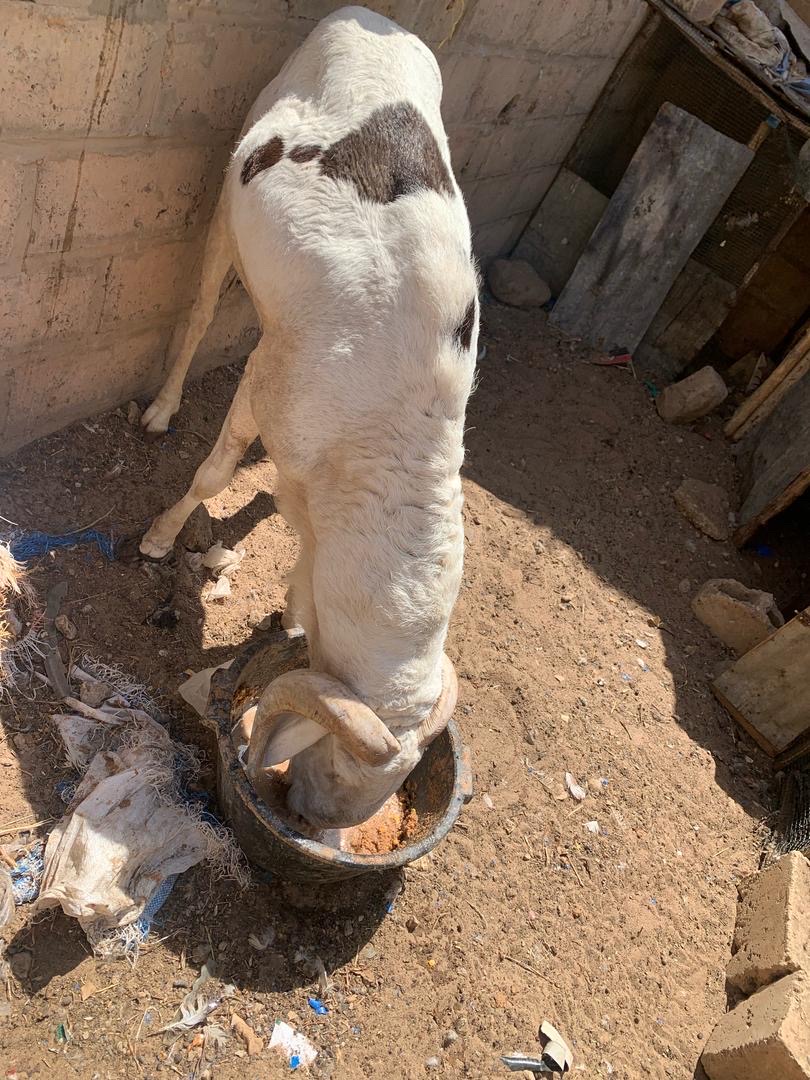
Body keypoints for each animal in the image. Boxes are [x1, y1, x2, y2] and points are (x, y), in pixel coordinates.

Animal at [138, 6, 478, 829]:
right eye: (338, 761)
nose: (312, 819)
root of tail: (375, 18)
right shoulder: (268, 383)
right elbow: (215, 472)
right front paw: (160, 538)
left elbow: (301, 563)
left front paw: (291, 614)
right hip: (230, 199)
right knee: (200, 313)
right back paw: (162, 409)